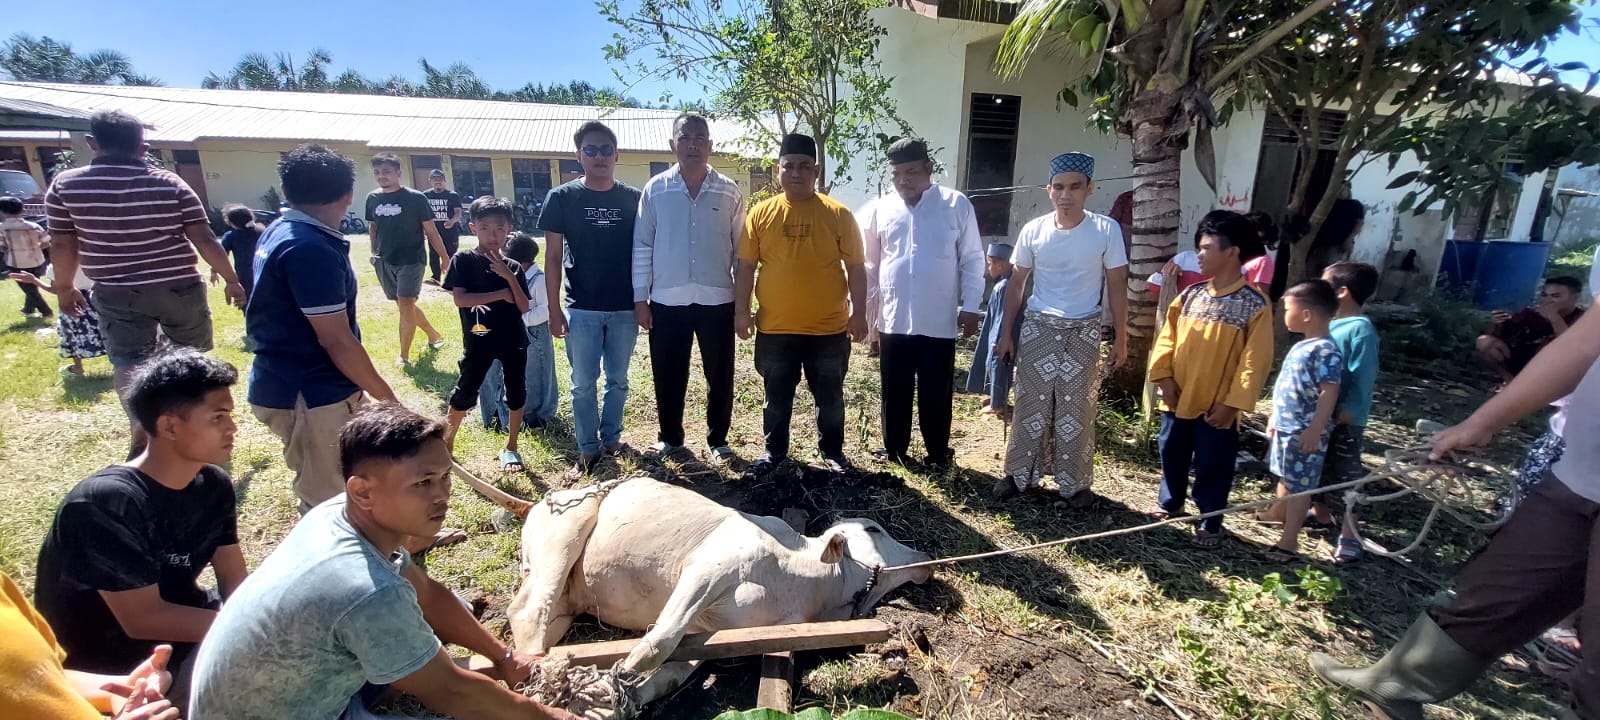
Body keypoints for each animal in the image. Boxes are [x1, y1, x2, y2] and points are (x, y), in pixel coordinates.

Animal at [512, 476, 934, 707]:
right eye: (873, 529)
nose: (926, 558)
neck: (804, 583)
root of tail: (537, 504)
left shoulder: (708, 633)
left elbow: (669, 674)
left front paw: (609, 695)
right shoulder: (707, 567)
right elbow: (658, 642)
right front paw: (615, 677)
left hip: (567, 600)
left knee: (529, 615)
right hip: (566, 532)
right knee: (528, 613)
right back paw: (540, 684)